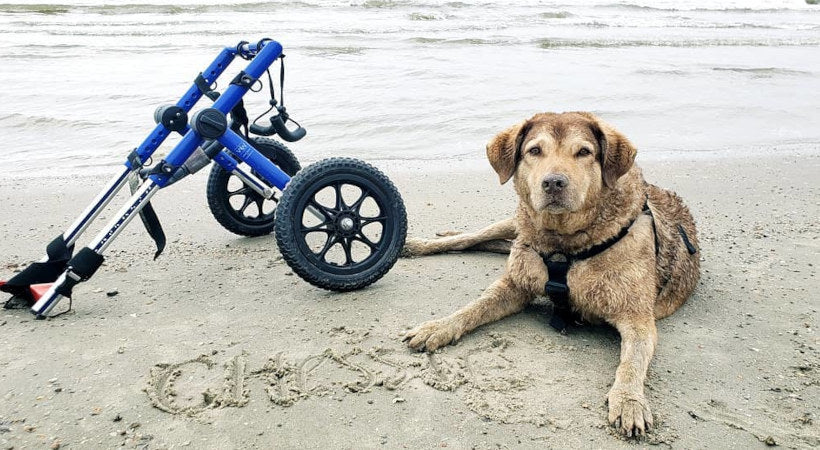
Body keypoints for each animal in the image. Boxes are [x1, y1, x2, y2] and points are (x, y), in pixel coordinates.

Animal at [400, 111, 700, 436]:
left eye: (583, 152)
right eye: (534, 151)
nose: (554, 182)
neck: (564, 243)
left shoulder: (637, 317)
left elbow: (632, 360)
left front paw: (629, 400)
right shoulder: (516, 282)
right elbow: (475, 307)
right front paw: (439, 326)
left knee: (499, 243)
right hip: (516, 220)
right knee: (475, 237)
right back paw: (419, 244)